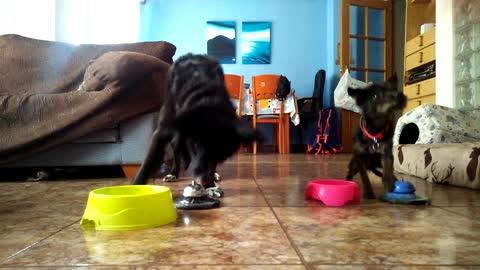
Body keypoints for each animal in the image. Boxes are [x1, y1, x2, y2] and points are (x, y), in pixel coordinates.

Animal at [129, 52, 258, 195]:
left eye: (219, 154)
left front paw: (211, 185)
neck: (206, 97)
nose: (205, 182)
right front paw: (135, 187)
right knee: (177, 153)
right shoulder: (162, 131)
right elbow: (148, 162)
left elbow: (211, 166)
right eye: (195, 145)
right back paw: (174, 173)